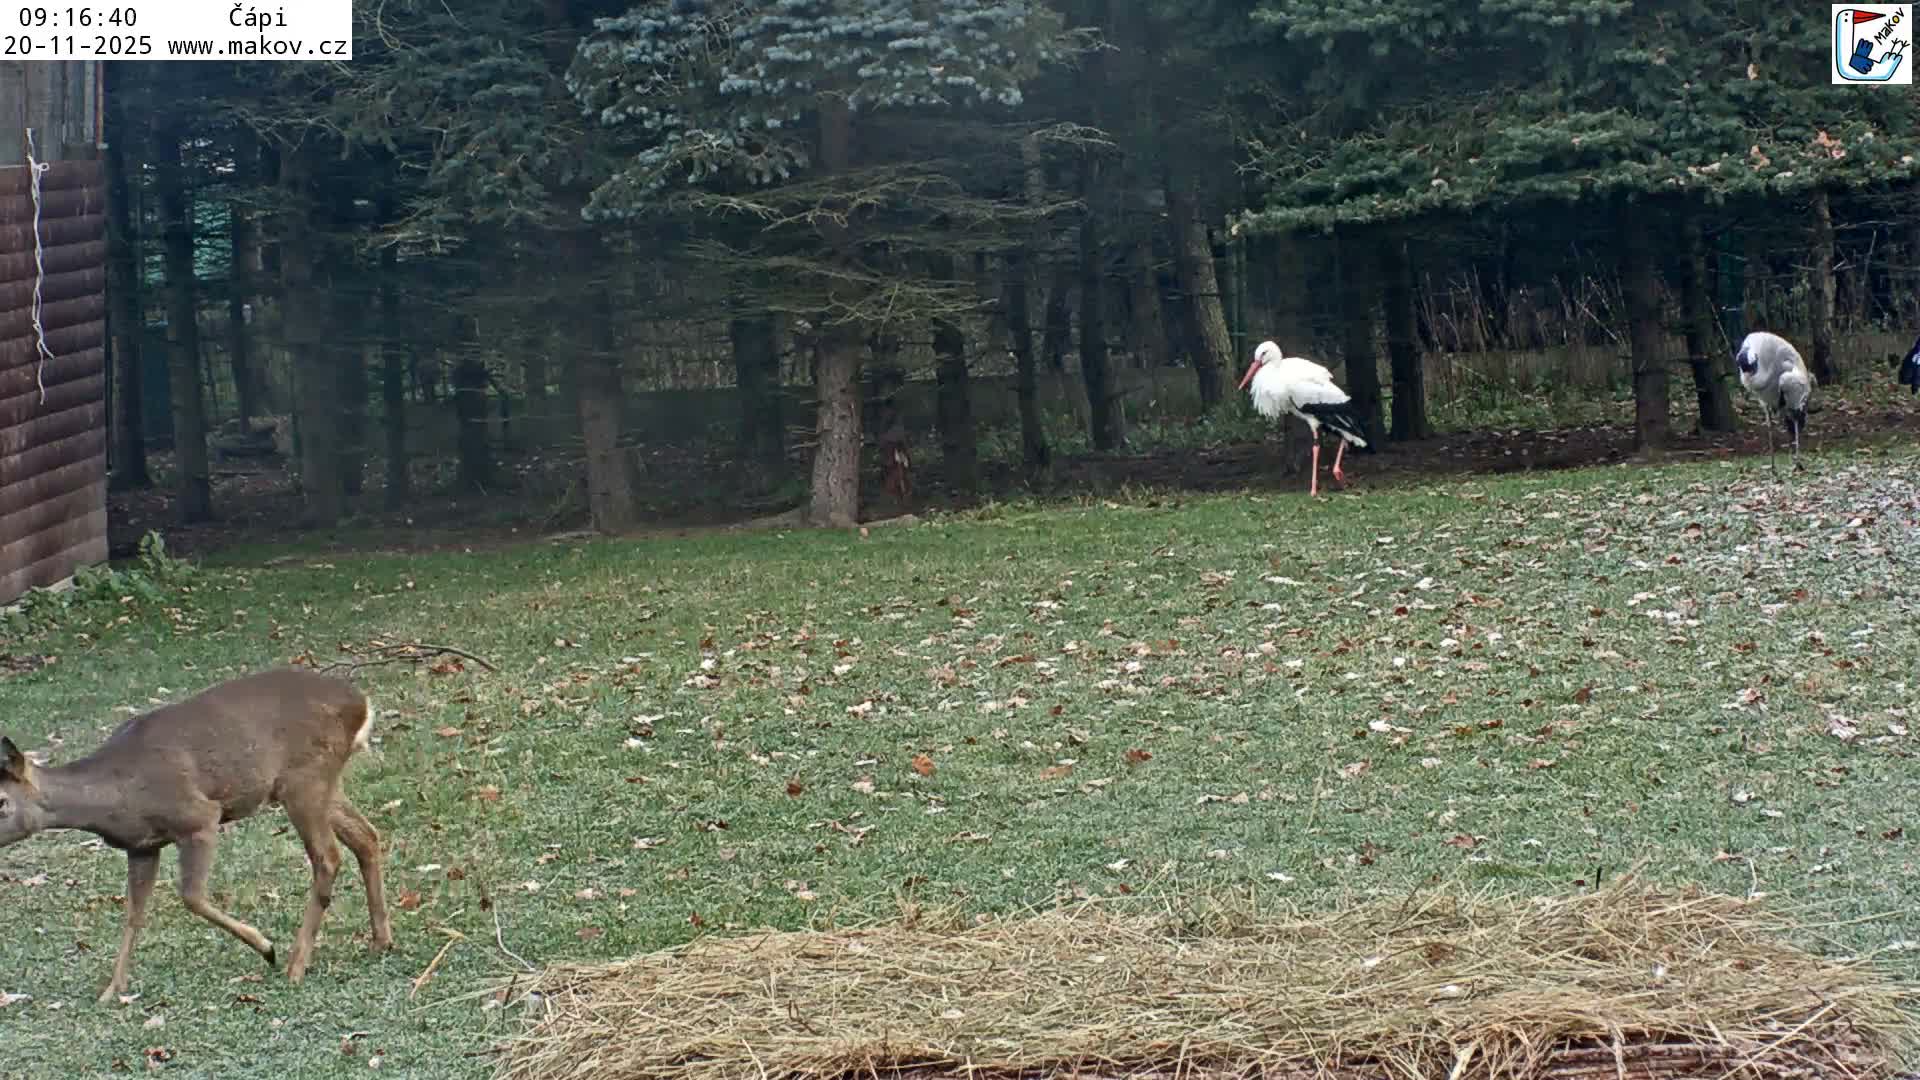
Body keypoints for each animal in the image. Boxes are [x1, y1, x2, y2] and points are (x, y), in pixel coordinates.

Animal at [0, 667, 393, 1004]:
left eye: (2, 801)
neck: (115, 794)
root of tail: (361, 703)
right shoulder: (142, 847)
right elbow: (134, 914)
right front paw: (112, 990)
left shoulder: (198, 818)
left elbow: (191, 896)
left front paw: (266, 947)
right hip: (321, 783)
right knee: (366, 836)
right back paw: (381, 941)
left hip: (304, 779)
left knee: (328, 856)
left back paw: (296, 964)